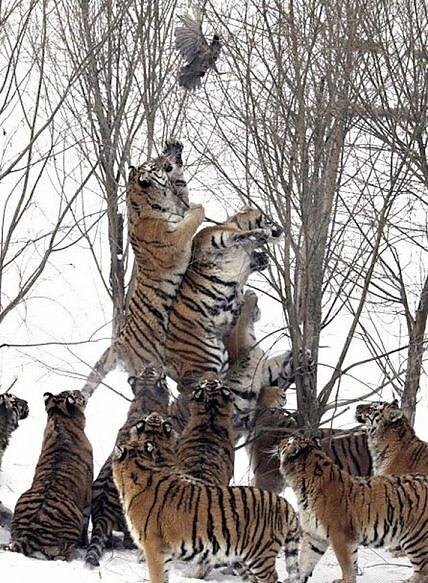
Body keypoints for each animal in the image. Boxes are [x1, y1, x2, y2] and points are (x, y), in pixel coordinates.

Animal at [9, 392, 93, 560]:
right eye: (75, 394)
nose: (81, 392)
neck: (59, 418)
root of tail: (30, 534)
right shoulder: (88, 495)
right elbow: (86, 522)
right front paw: (85, 544)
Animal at [112, 416, 302, 583]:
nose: (153, 415)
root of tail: (285, 504)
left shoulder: (154, 546)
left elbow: (157, 576)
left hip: (259, 554)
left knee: (271, 577)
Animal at [164, 206, 280, 384]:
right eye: (268, 218)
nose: (280, 230)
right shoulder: (214, 238)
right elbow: (237, 235)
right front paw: (260, 233)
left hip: (217, 359)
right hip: (204, 359)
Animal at [280, 438, 428, 583]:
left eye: (288, 442)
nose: (280, 443)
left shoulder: (340, 536)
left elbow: (346, 564)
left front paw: (346, 580)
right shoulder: (314, 535)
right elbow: (306, 559)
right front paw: (296, 578)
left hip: (415, 538)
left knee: (423, 569)